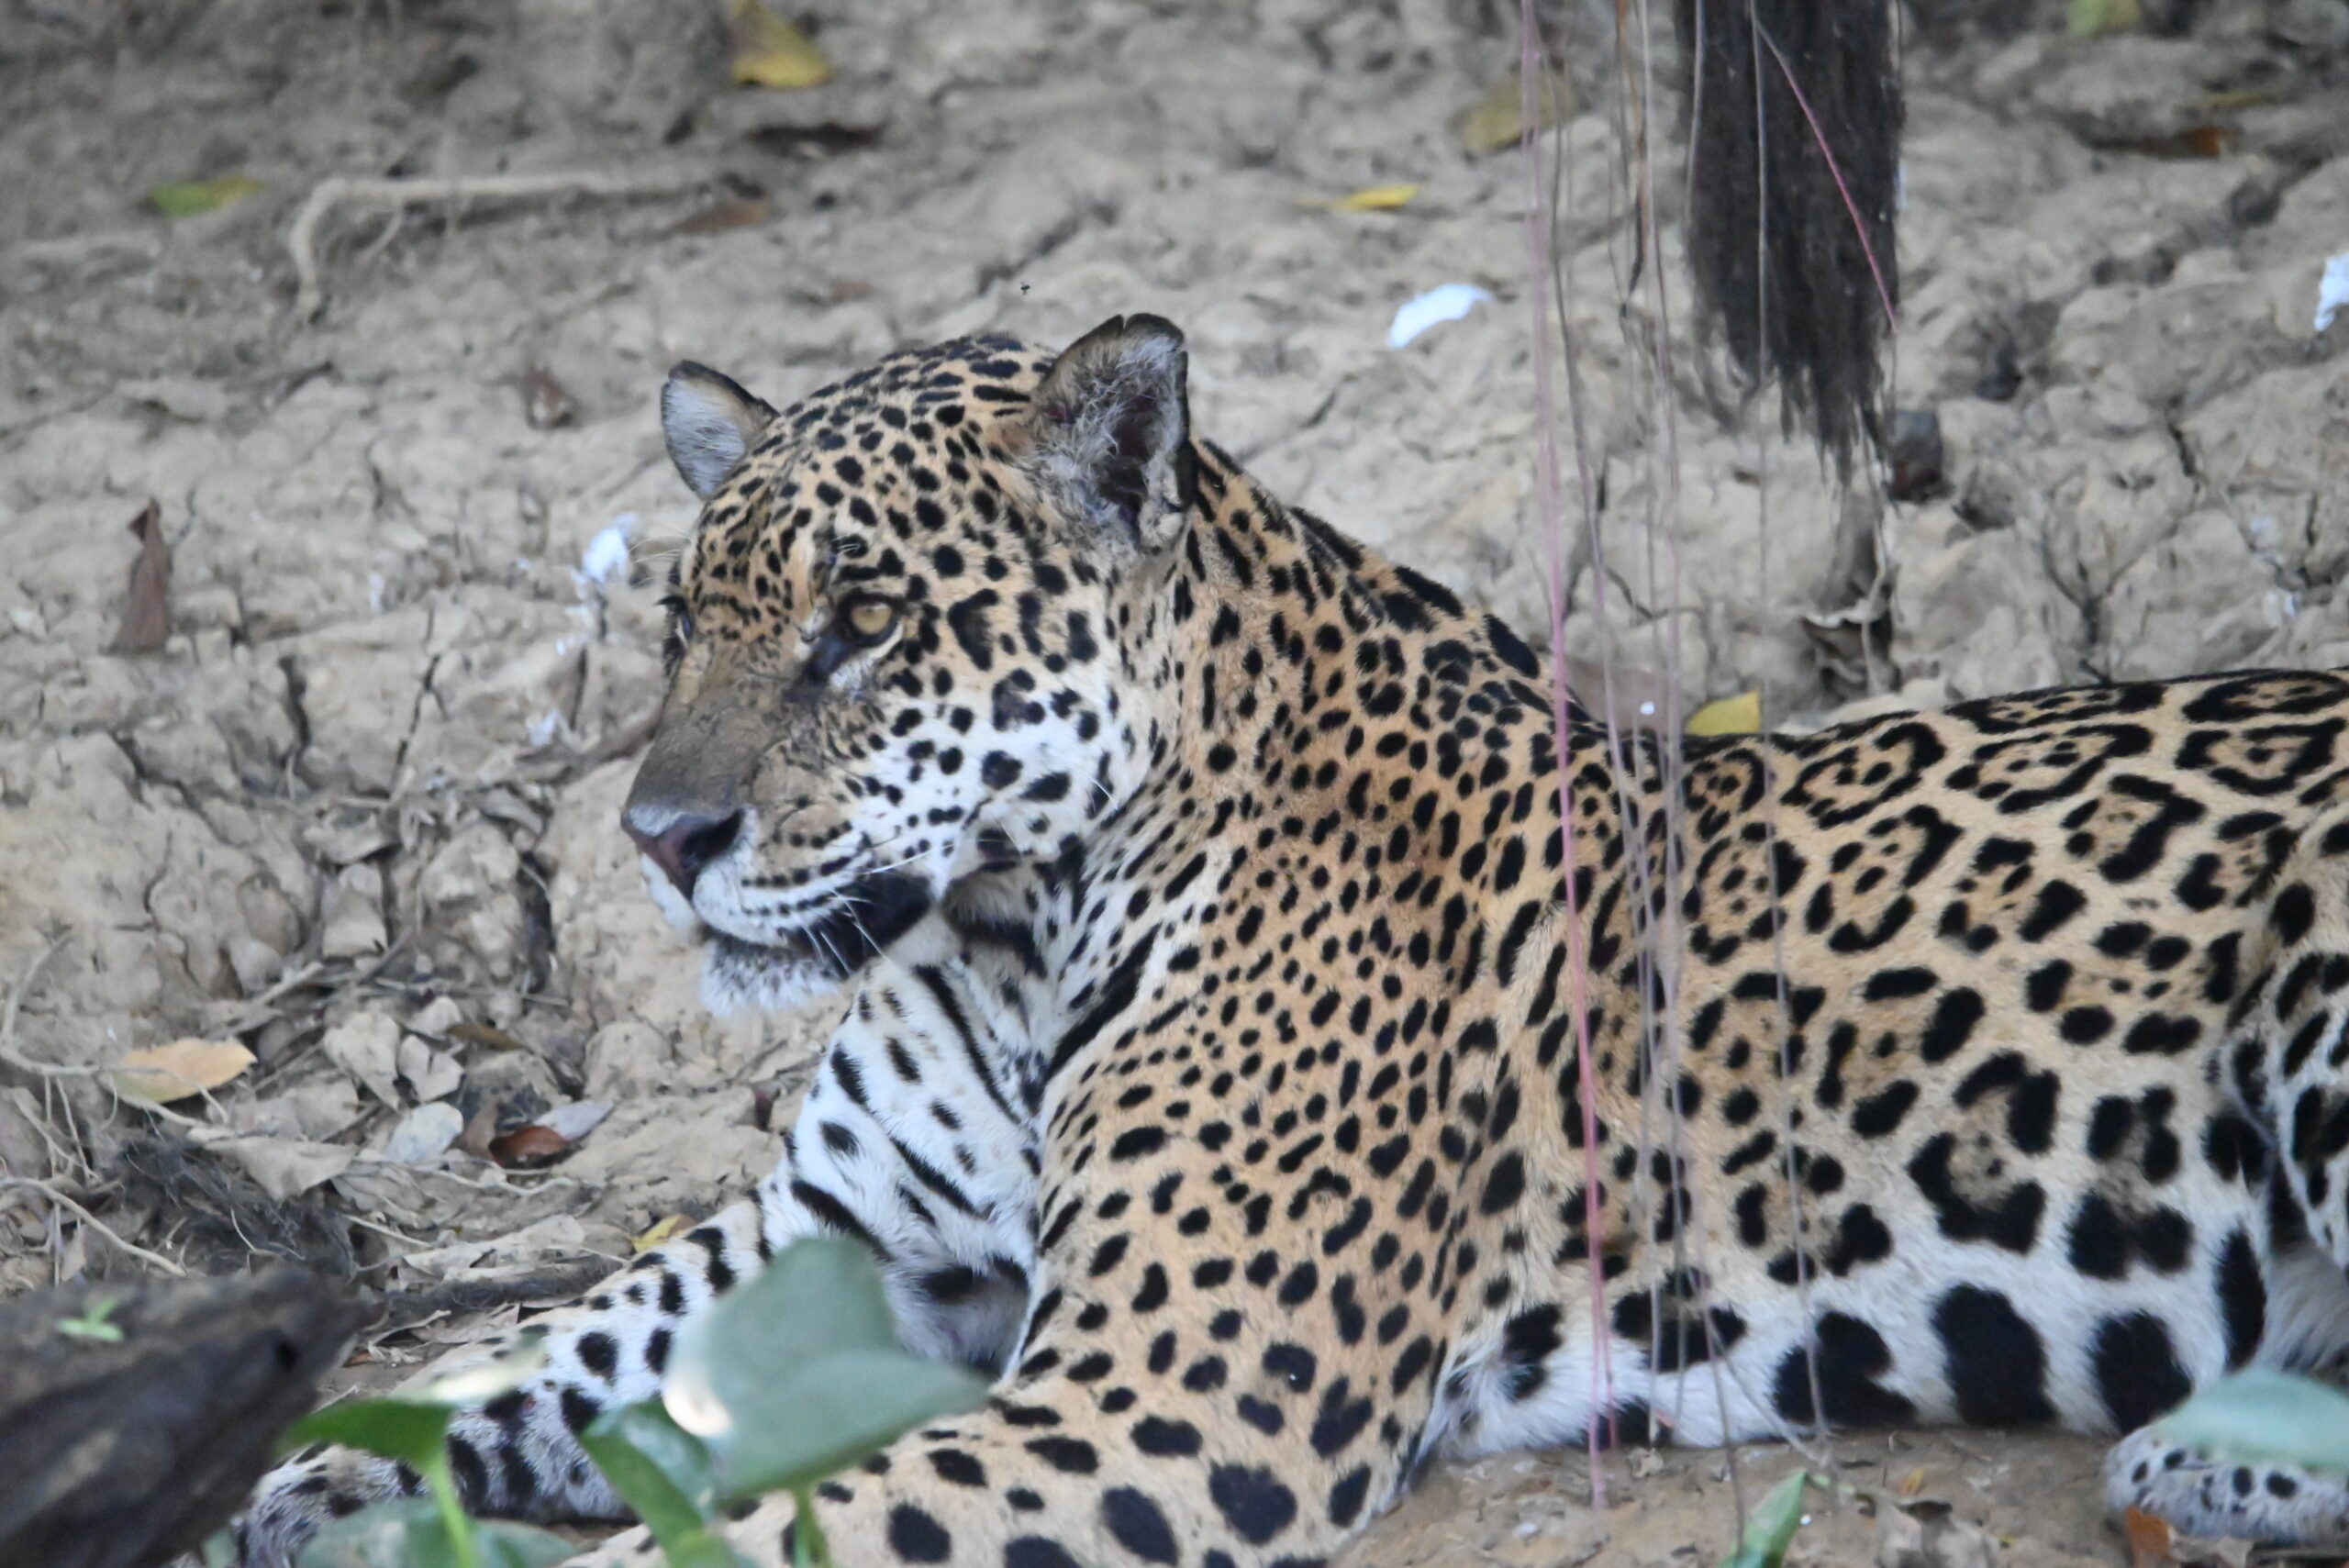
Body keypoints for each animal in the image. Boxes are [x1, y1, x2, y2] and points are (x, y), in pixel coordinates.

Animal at [229, 314, 2349, 1568]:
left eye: (863, 625)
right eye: (685, 621)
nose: (659, 842)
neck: (1008, 933)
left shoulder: (1162, 1399)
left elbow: (756, 1536)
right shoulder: (833, 1235)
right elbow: (548, 1343)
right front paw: (308, 1473)